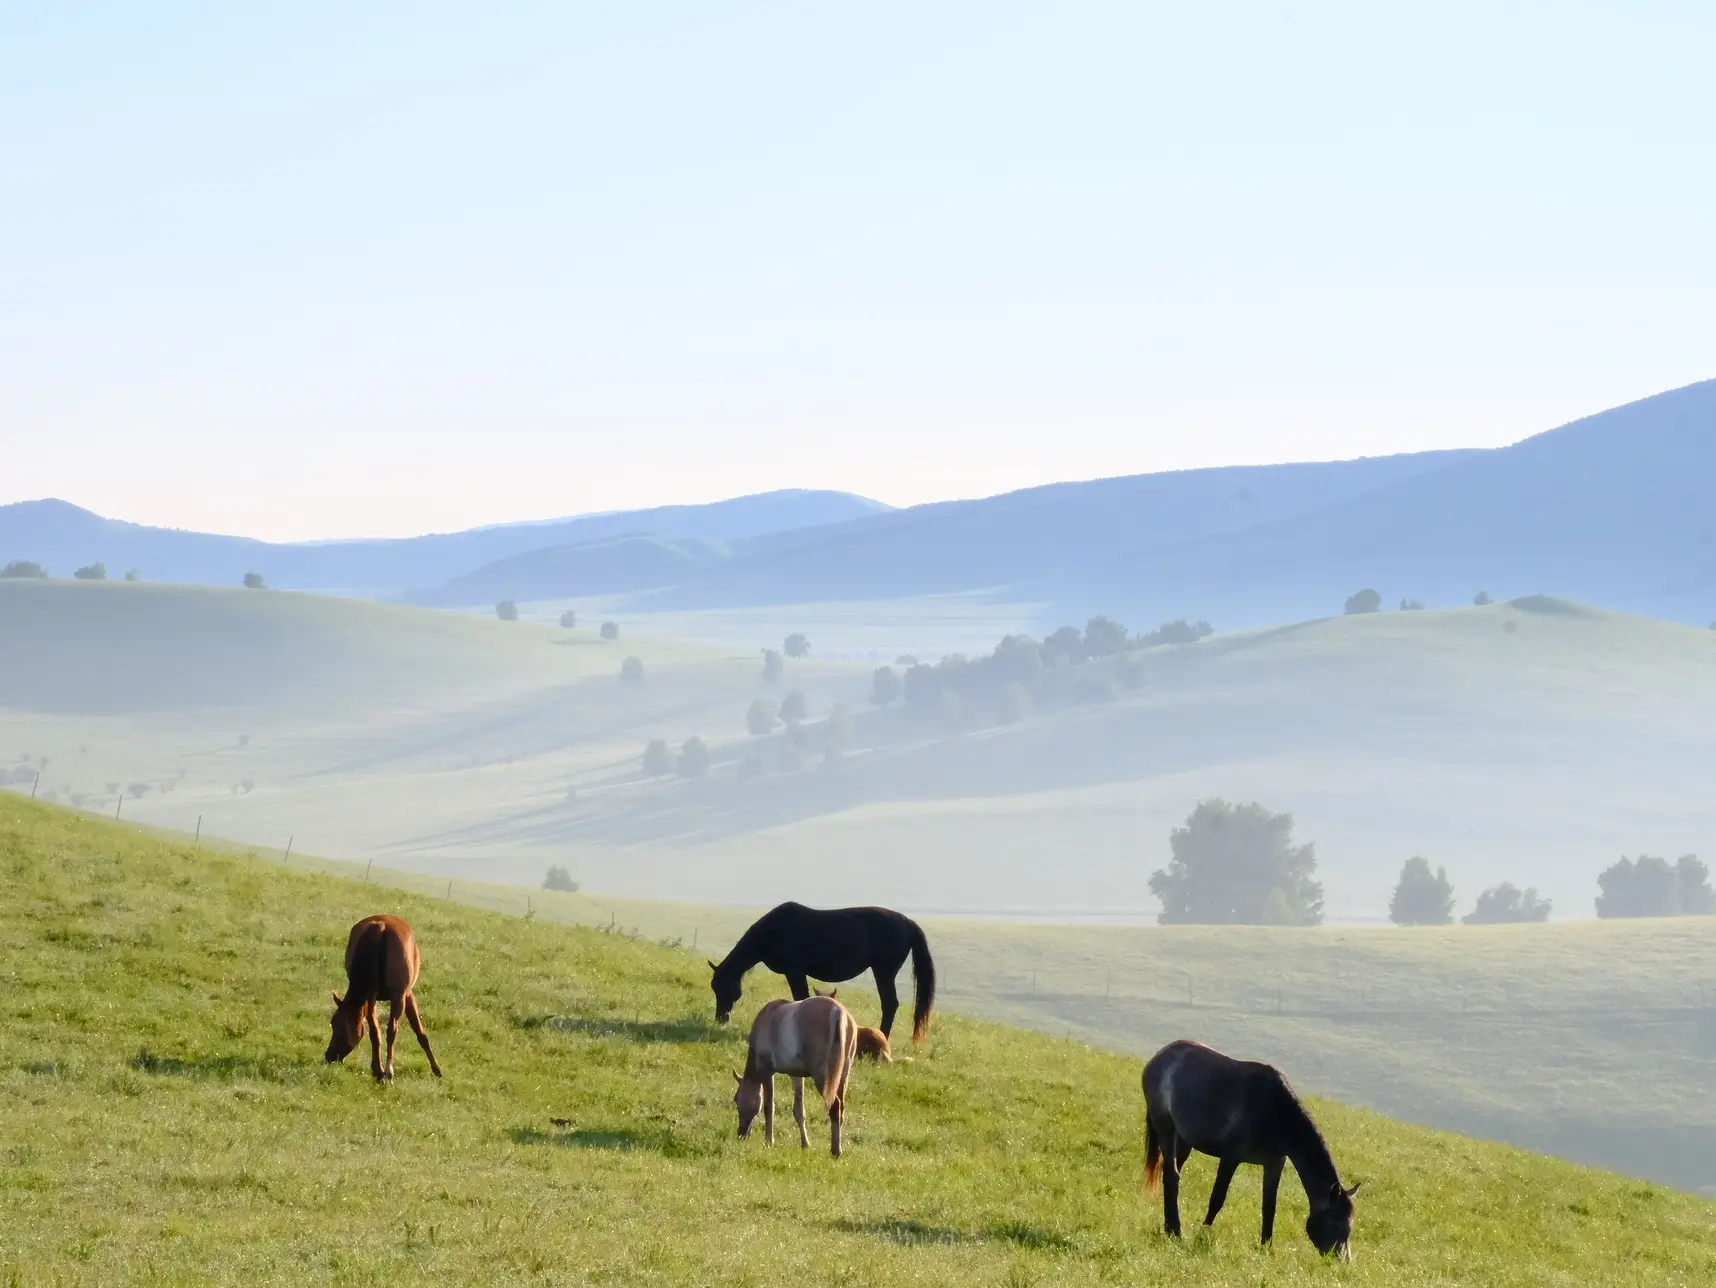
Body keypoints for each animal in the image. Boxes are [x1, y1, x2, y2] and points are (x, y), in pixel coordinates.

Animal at [325, 914, 443, 1082]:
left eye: (334, 1023)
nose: (329, 1056)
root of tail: (380, 927)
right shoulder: (407, 994)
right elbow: (420, 1032)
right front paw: (436, 1069)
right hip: (398, 996)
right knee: (391, 1030)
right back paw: (388, 1071)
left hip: (374, 996)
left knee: (375, 1030)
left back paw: (379, 1070)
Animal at [709, 901, 935, 1042]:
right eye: (714, 989)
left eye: (724, 989)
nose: (721, 1018)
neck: (774, 931)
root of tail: (909, 923)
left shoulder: (795, 971)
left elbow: (801, 997)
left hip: (884, 973)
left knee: (890, 1004)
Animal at [732, 994, 859, 1157]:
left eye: (736, 1099)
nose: (741, 1134)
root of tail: (838, 1012)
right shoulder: (796, 1075)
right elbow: (799, 1110)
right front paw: (805, 1144)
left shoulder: (767, 1073)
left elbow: (768, 1107)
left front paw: (768, 1141)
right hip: (842, 1076)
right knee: (841, 1108)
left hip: (823, 1077)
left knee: (835, 1106)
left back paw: (835, 1150)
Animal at [1142, 1039, 1359, 1258]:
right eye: (1336, 1223)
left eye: (1349, 1226)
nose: (1342, 1260)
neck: (1277, 1112)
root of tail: (1159, 1057)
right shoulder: (1230, 1158)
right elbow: (1217, 1199)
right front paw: (1202, 1235)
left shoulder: (1274, 1164)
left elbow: (1269, 1206)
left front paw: (1266, 1247)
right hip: (1165, 1127)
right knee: (1172, 1175)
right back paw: (1176, 1231)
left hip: (1184, 1140)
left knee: (1169, 1175)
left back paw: (1169, 1228)